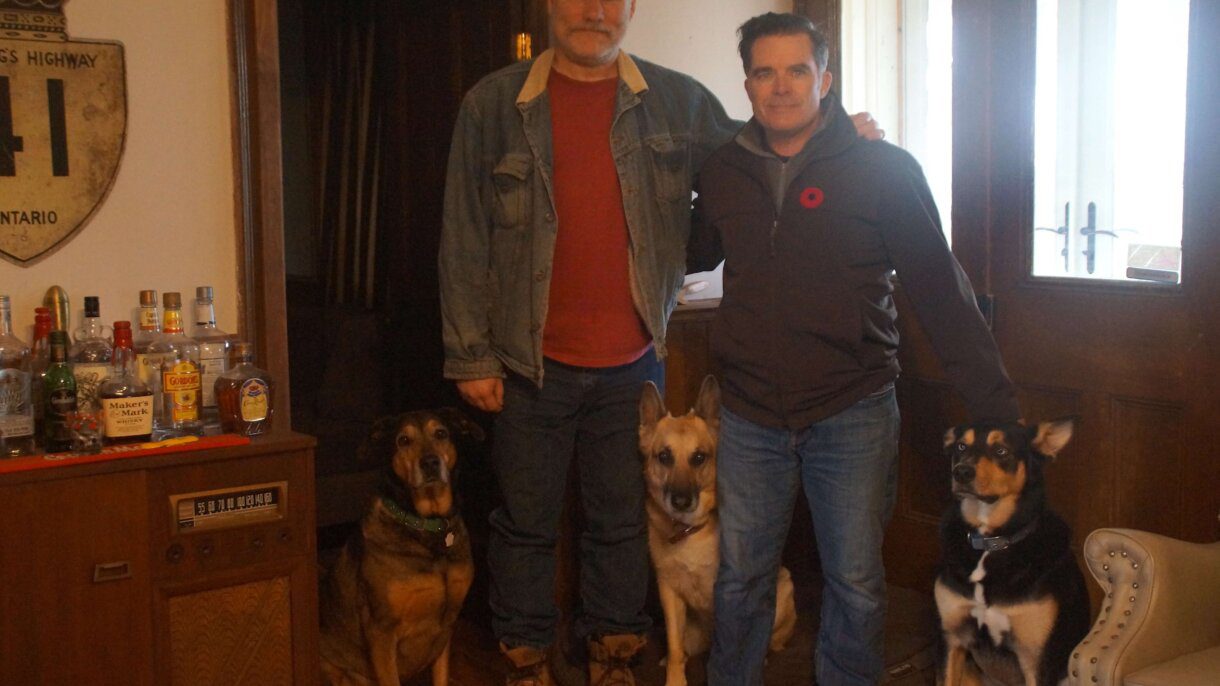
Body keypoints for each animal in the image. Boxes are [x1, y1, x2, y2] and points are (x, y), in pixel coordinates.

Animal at [319, 408, 483, 686]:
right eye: (403, 441)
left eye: (441, 433)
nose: (430, 463)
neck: (428, 527)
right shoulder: (382, 630)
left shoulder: (447, 626)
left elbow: (441, 676)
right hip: (336, 672)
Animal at [639, 376, 797, 686]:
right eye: (664, 456)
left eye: (699, 457)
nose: (681, 501)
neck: (689, 530)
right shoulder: (669, 592)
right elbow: (674, 646)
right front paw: (675, 677)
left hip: (784, 587)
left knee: (771, 641)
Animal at [934, 418, 1090, 686]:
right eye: (961, 446)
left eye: (1001, 451)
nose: (962, 472)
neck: (990, 541)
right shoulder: (951, 637)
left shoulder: (1036, 658)